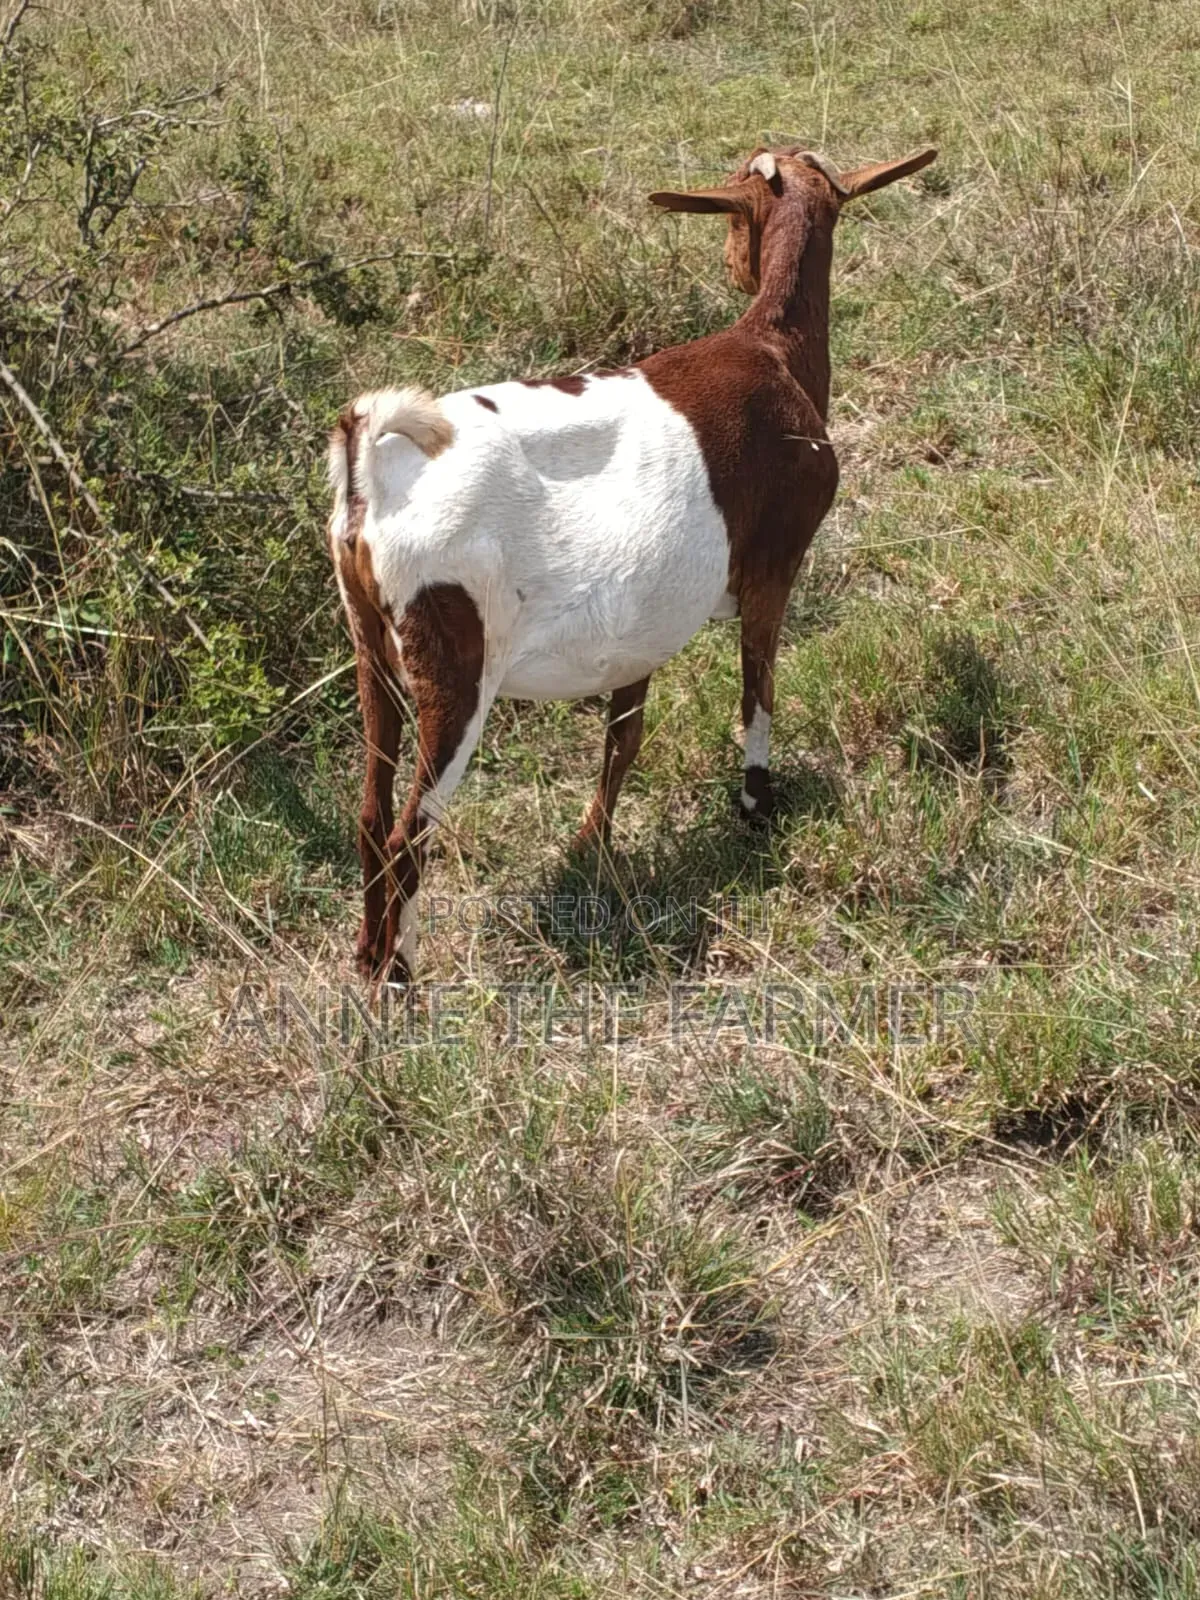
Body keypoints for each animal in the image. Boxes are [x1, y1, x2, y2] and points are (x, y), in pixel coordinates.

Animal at [328, 141, 937, 984]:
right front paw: (756, 804)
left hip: (371, 649)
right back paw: (402, 978)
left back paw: (365, 955)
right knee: (407, 835)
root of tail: (372, 469)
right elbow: (757, 690)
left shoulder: (634, 631)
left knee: (368, 812)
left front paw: (594, 846)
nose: (736, 266)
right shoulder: (774, 567)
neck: (770, 348)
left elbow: (626, 739)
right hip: (456, 666)